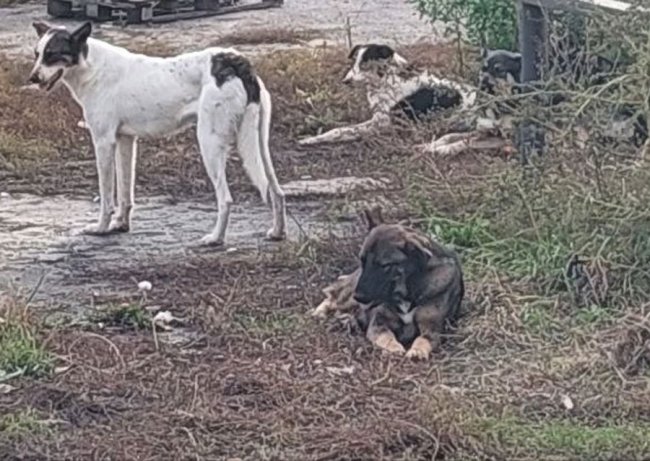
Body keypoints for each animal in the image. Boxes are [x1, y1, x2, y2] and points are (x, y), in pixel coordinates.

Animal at [28, 21, 286, 246]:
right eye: (36, 54)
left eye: (52, 54)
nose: (32, 78)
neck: (91, 66)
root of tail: (235, 61)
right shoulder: (125, 141)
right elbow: (125, 193)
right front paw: (120, 224)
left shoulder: (103, 143)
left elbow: (107, 196)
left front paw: (101, 227)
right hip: (259, 144)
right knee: (277, 191)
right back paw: (277, 232)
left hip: (209, 145)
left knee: (226, 199)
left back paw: (215, 239)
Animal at [298, 44, 477, 146]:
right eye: (354, 62)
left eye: (365, 63)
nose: (345, 81)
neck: (387, 79)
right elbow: (339, 127)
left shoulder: (383, 123)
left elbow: (342, 130)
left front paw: (313, 139)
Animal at [313, 207, 464, 360]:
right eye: (363, 261)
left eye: (384, 266)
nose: (359, 296)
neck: (407, 293)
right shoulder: (378, 324)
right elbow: (386, 336)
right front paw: (394, 348)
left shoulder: (432, 329)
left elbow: (422, 339)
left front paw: (417, 351)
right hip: (348, 298)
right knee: (332, 297)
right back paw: (318, 313)